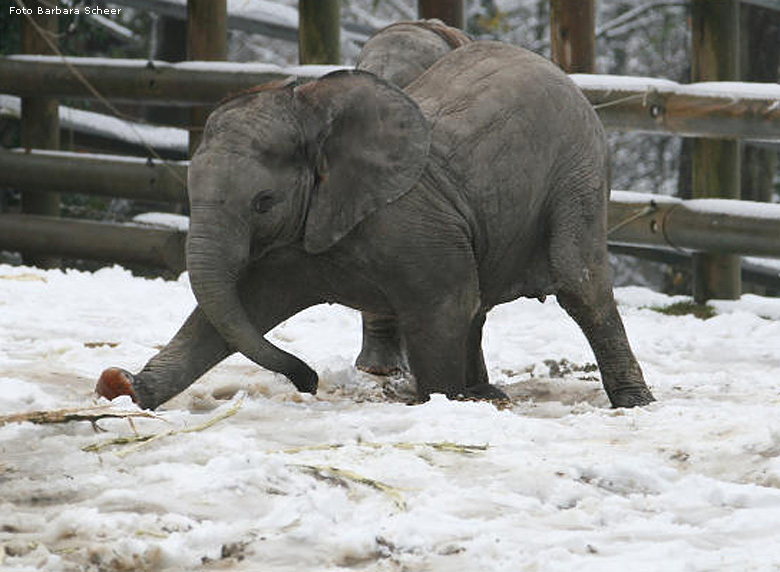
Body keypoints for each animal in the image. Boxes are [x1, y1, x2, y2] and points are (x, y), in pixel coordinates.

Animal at [99, 43, 660, 412]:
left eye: (263, 202)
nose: (309, 382)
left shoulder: (407, 220)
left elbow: (442, 304)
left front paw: (441, 405)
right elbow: (239, 309)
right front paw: (125, 390)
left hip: (579, 170)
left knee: (578, 284)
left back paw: (633, 403)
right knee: (480, 296)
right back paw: (485, 394)